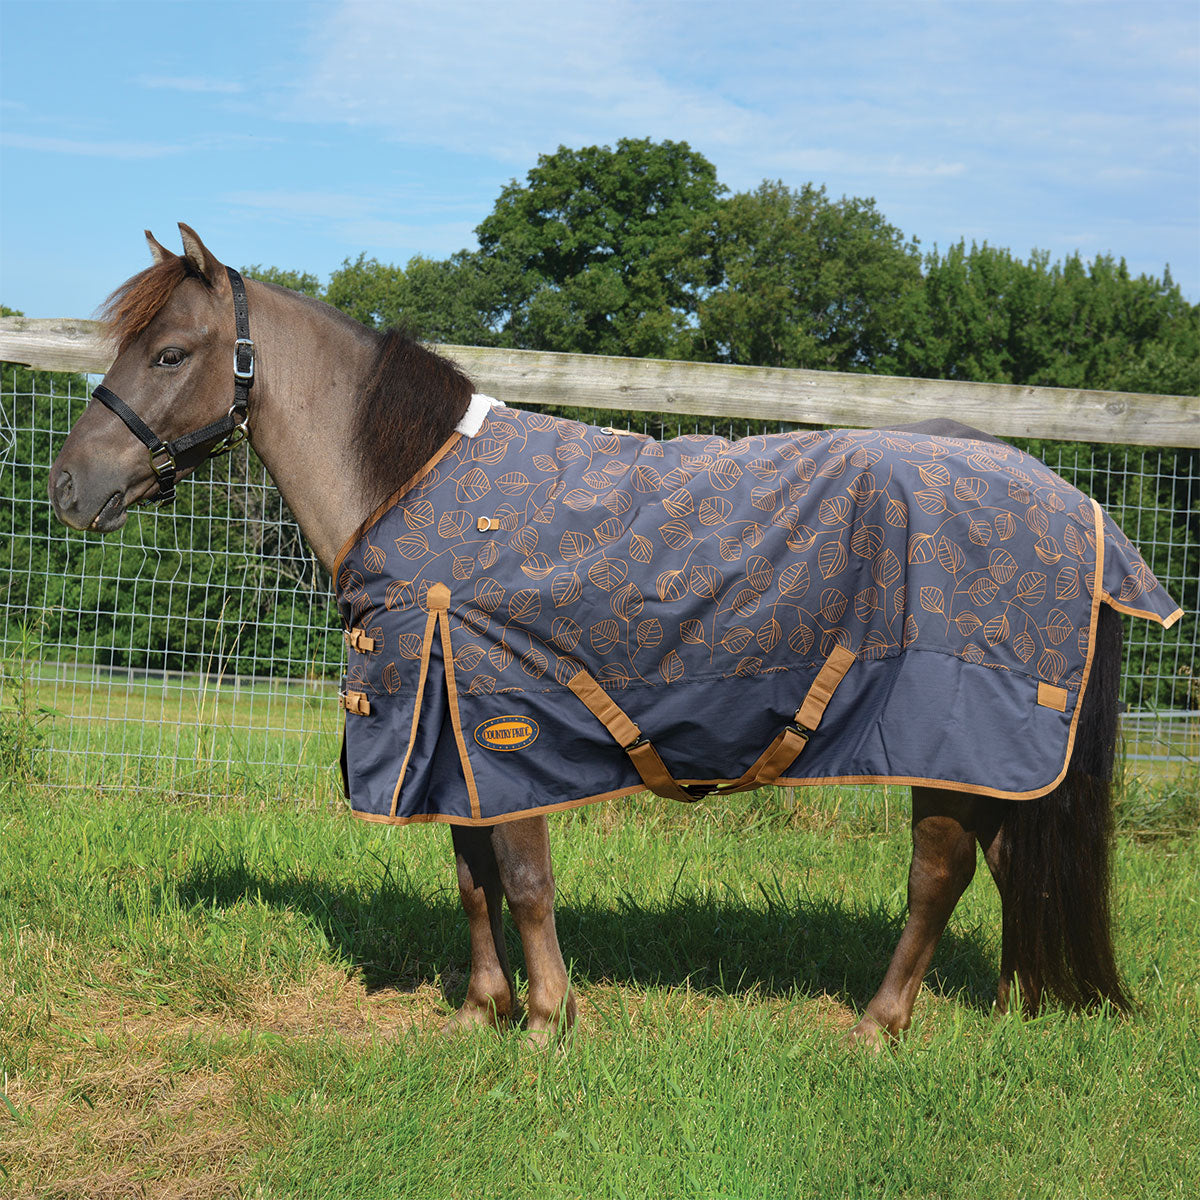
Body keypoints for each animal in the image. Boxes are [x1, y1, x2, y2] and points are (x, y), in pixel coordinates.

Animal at [48, 225, 1180, 1049]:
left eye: (170, 352)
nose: (68, 486)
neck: (416, 486)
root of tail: (1074, 504)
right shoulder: (447, 732)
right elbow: (471, 875)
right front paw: (483, 1012)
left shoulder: (501, 723)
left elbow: (525, 879)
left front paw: (549, 1023)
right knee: (1010, 861)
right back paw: (1017, 1007)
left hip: (952, 735)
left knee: (940, 872)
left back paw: (879, 1025)